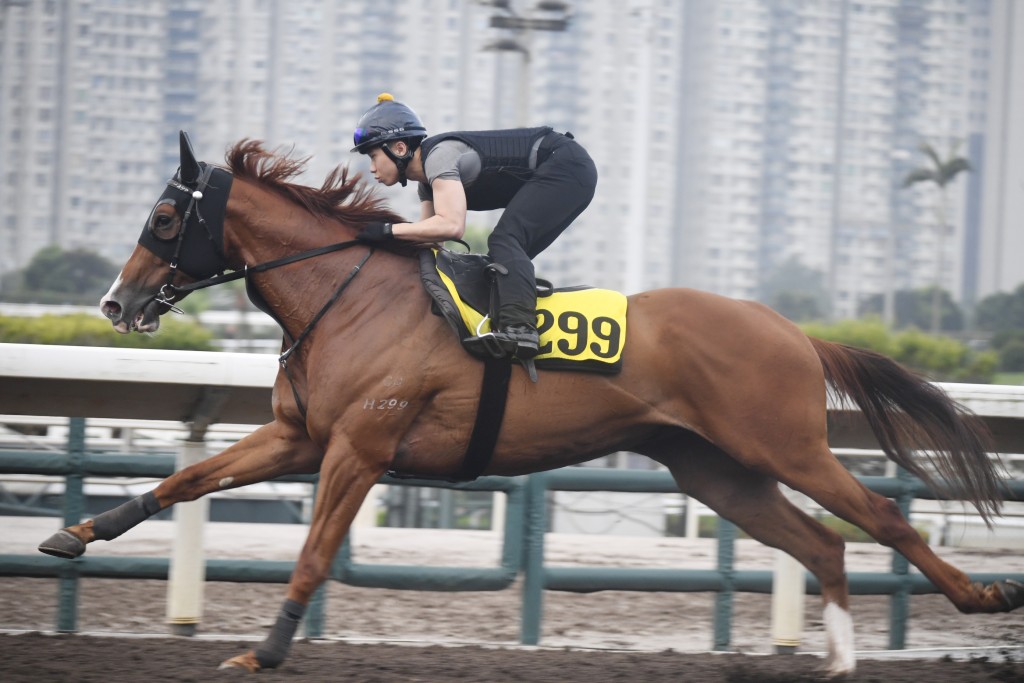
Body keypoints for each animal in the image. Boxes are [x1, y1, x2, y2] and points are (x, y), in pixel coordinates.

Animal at [37, 132, 1015, 671]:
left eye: (166, 219)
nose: (116, 304)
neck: (345, 293)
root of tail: (796, 332)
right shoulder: (298, 436)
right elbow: (185, 480)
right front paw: (76, 532)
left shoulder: (358, 449)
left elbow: (312, 554)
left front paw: (266, 649)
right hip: (714, 468)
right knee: (821, 542)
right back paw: (842, 662)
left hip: (785, 447)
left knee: (881, 521)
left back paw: (983, 596)